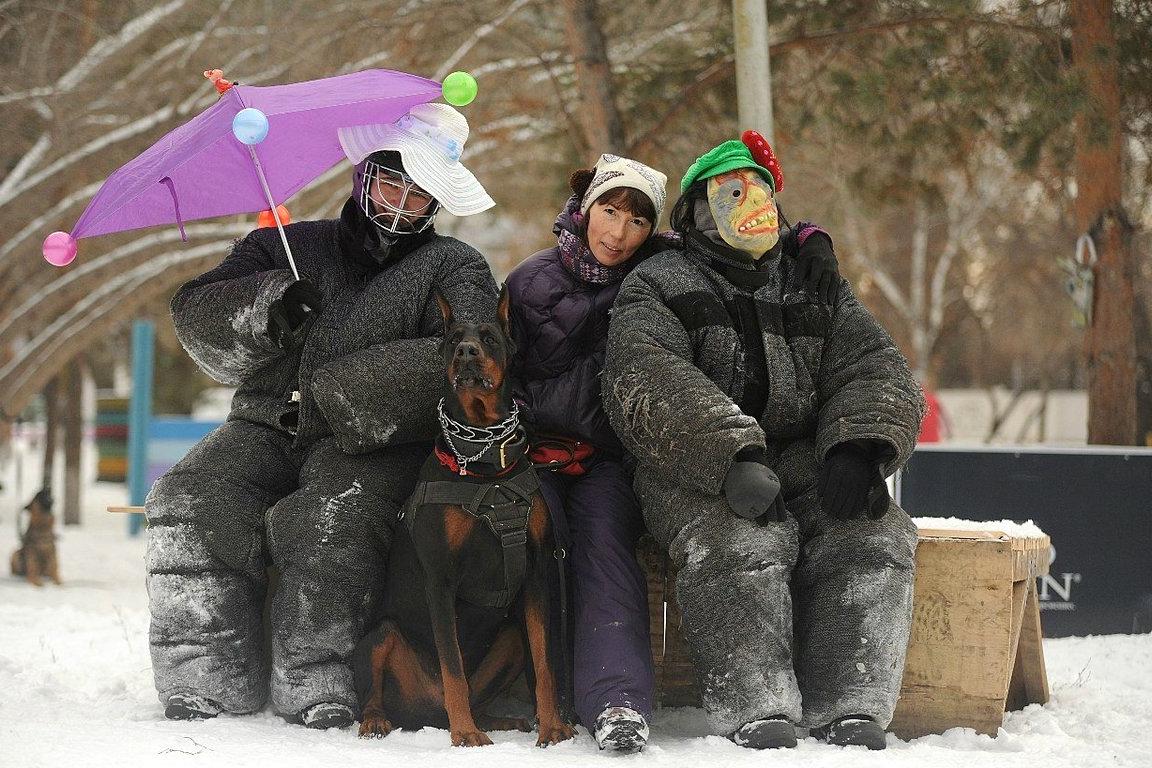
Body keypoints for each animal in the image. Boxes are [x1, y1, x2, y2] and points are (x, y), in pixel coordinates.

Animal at [350, 285, 576, 746]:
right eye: (454, 339)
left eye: (488, 337)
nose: (466, 353)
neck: (488, 465)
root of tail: (427, 713)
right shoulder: (440, 578)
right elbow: (452, 665)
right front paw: (466, 735)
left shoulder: (536, 571)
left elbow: (544, 663)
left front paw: (552, 726)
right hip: (381, 635)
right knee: (378, 690)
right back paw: (381, 720)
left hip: (508, 638)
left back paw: (495, 719)